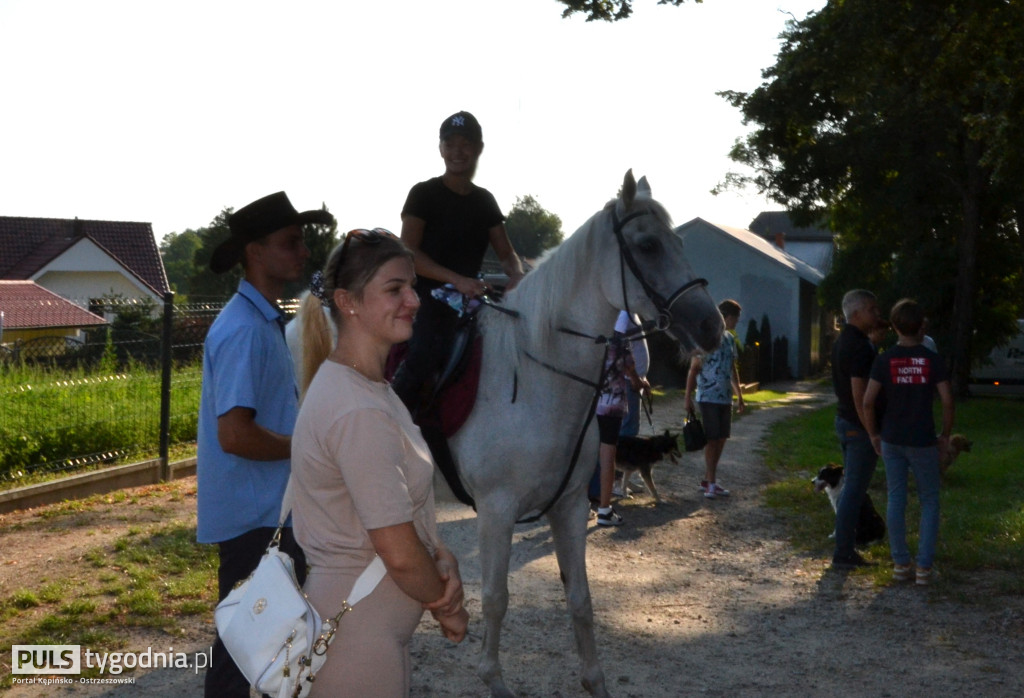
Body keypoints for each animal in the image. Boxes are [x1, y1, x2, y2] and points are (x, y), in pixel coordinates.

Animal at [290, 169, 720, 695]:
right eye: (648, 245)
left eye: (678, 242)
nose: (711, 325)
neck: (537, 376)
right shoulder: (497, 510)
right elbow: (496, 598)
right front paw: (493, 678)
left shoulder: (569, 505)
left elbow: (580, 598)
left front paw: (594, 681)